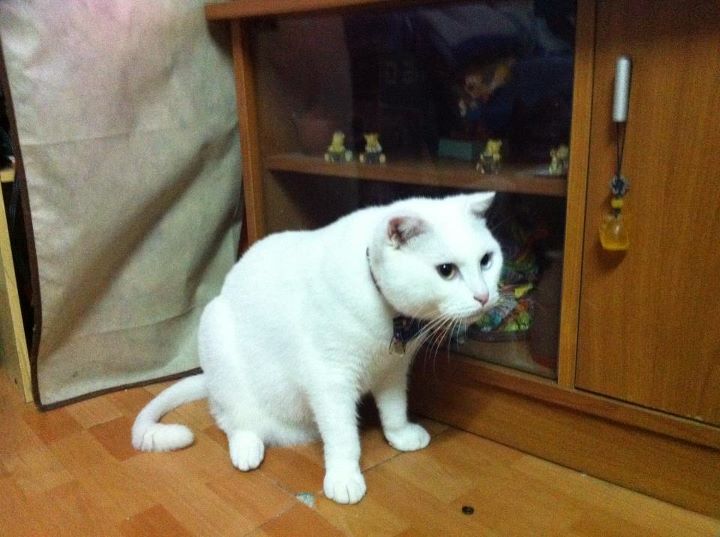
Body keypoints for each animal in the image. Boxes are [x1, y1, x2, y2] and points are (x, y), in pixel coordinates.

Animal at [132, 192, 503, 505]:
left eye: (486, 260)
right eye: (446, 271)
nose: (484, 296)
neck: (390, 319)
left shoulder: (393, 371)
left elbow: (395, 410)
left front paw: (400, 436)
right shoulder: (331, 381)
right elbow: (343, 438)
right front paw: (344, 478)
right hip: (217, 336)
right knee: (231, 419)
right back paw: (247, 448)